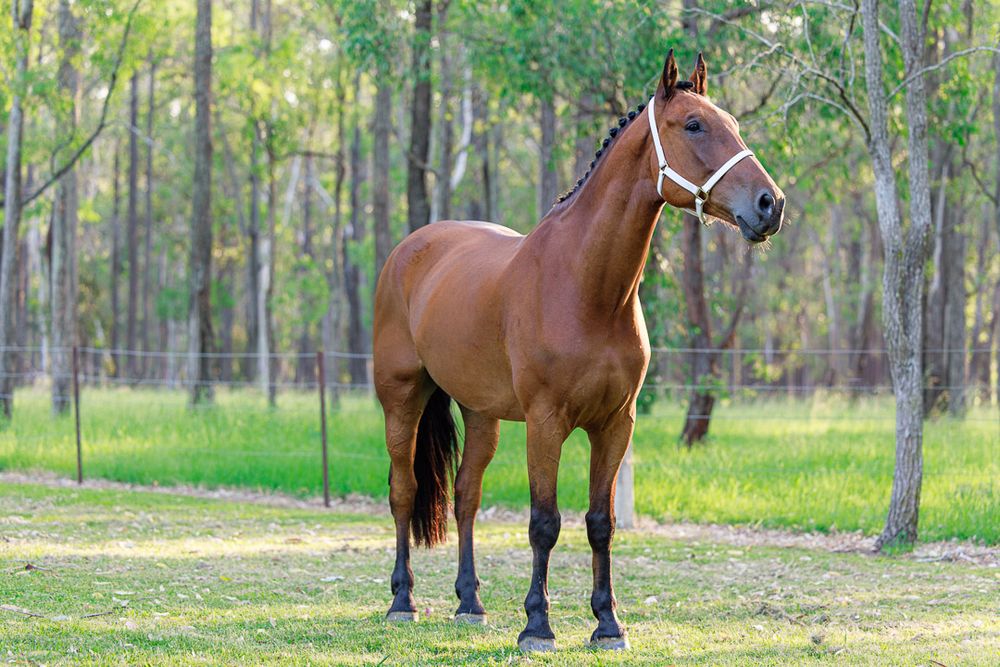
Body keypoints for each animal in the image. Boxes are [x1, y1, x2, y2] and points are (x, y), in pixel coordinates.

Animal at [372, 48, 784, 652]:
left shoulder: (615, 424)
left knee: (466, 494)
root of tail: (409, 249)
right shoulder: (546, 423)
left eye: (732, 122)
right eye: (693, 125)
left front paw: (607, 624)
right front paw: (537, 626)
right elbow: (544, 522)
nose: (770, 204)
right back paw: (403, 600)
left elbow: (599, 523)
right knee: (403, 491)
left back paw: (470, 602)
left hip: (482, 414)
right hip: (402, 399)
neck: (587, 289)